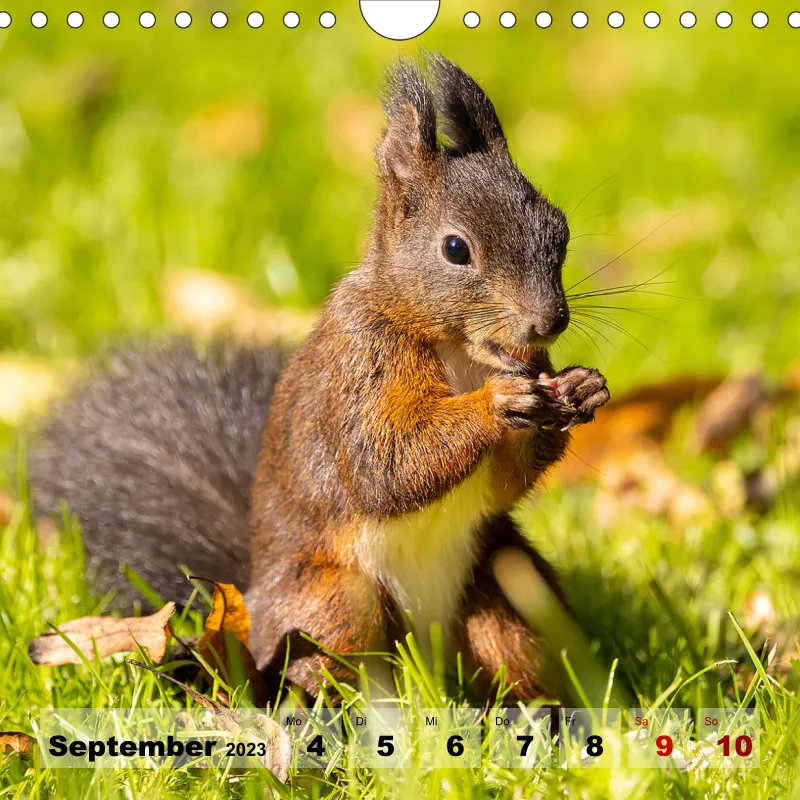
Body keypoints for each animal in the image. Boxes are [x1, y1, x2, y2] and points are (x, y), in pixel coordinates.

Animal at [31, 54, 609, 702]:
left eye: (559, 229)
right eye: (456, 249)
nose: (548, 322)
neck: (458, 349)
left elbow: (499, 485)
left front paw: (582, 388)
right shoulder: (359, 366)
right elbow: (384, 462)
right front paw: (496, 403)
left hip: (506, 585)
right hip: (332, 604)